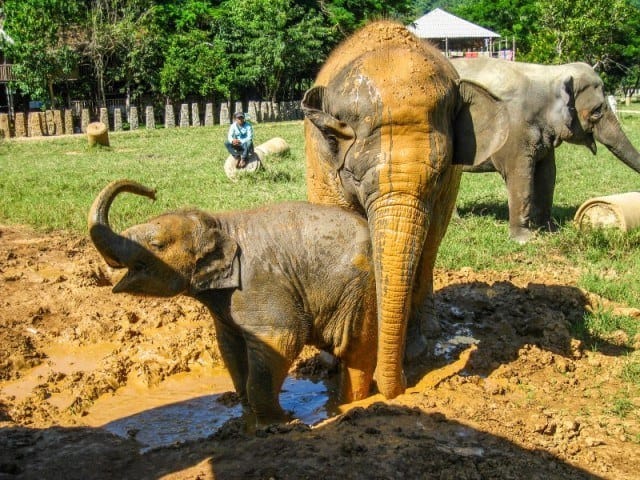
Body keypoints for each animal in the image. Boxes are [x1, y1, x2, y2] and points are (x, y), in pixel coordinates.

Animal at [88, 179, 377, 425]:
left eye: (156, 244)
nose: (152, 192)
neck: (219, 223)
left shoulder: (258, 283)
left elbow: (284, 335)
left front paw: (282, 422)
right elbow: (229, 345)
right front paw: (248, 413)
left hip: (358, 293)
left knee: (356, 353)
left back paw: (348, 406)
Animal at [302, 21, 509, 399]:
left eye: (438, 175)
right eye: (354, 175)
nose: (392, 390)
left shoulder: (447, 185)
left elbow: (422, 244)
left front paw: (412, 352)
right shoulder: (322, 162)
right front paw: (332, 361)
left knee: (429, 249)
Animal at [451, 57, 640, 243]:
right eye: (597, 111)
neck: (549, 74)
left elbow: (547, 174)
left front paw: (550, 231)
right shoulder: (514, 130)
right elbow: (521, 175)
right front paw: (524, 239)